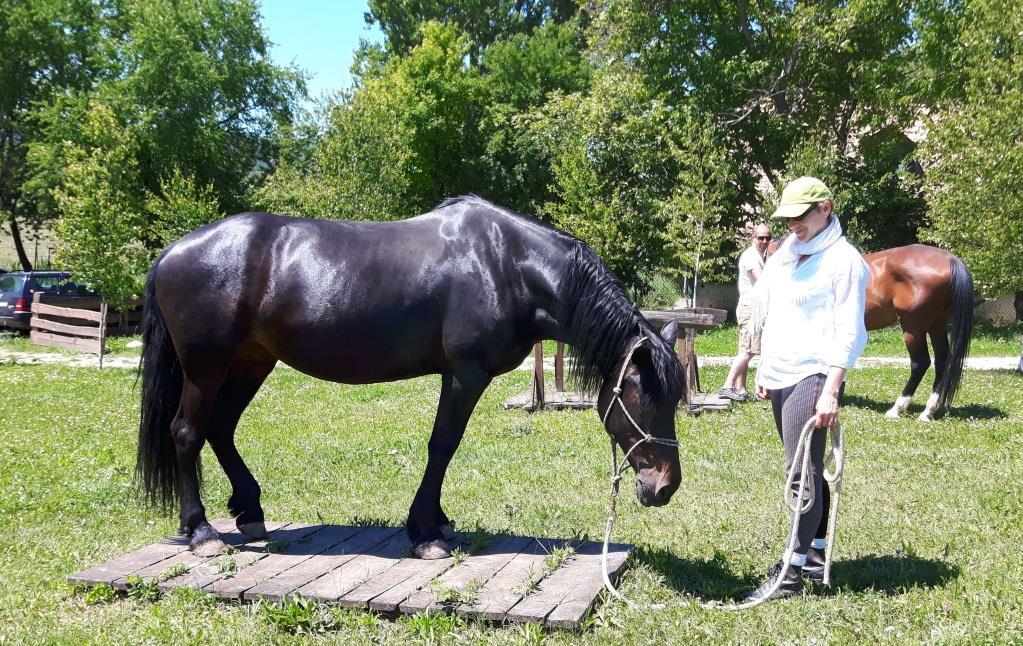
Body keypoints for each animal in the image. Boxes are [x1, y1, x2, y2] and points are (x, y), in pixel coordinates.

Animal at [134, 194, 679, 556]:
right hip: (206, 365)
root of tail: (174, 251)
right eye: (642, 397)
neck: (507, 264)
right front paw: (426, 534)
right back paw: (202, 532)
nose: (665, 487)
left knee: (220, 429)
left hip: (251, 361)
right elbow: (443, 446)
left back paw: (249, 514)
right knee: (187, 432)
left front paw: (437, 522)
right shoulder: (464, 374)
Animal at [769, 240, 973, 421]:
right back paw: (928, 411)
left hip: (913, 329)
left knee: (920, 363)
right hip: (937, 326)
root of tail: (949, 259)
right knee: (941, 361)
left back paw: (897, 409)